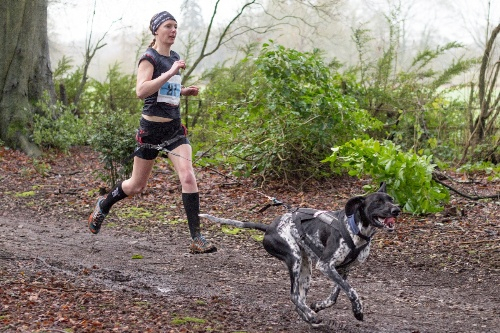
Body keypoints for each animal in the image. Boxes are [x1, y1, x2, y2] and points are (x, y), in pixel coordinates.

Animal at [201, 182, 400, 324]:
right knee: (294, 295)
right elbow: (351, 291)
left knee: (300, 298)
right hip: (294, 259)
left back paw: (308, 314)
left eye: (391, 199)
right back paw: (310, 316)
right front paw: (358, 310)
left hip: (306, 269)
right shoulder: (326, 265)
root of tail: (269, 228)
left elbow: (336, 295)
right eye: (378, 202)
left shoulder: (343, 269)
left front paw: (319, 305)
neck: (355, 228)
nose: (397, 209)